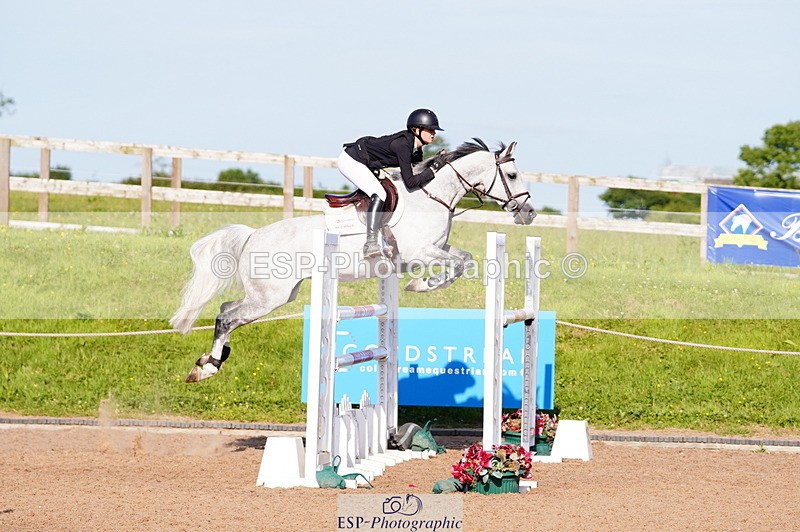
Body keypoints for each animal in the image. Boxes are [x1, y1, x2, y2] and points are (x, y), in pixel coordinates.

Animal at [170, 138, 537, 382]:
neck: (433, 198)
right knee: (227, 318)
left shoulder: (433, 250)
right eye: (513, 176)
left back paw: (209, 361)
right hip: (269, 296)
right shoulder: (419, 253)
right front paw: (424, 284)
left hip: (276, 294)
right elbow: (460, 263)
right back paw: (207, 368)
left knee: (226, 309)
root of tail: (253, 236)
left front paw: (424, 283)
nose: (530, 212)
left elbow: (464, 259)